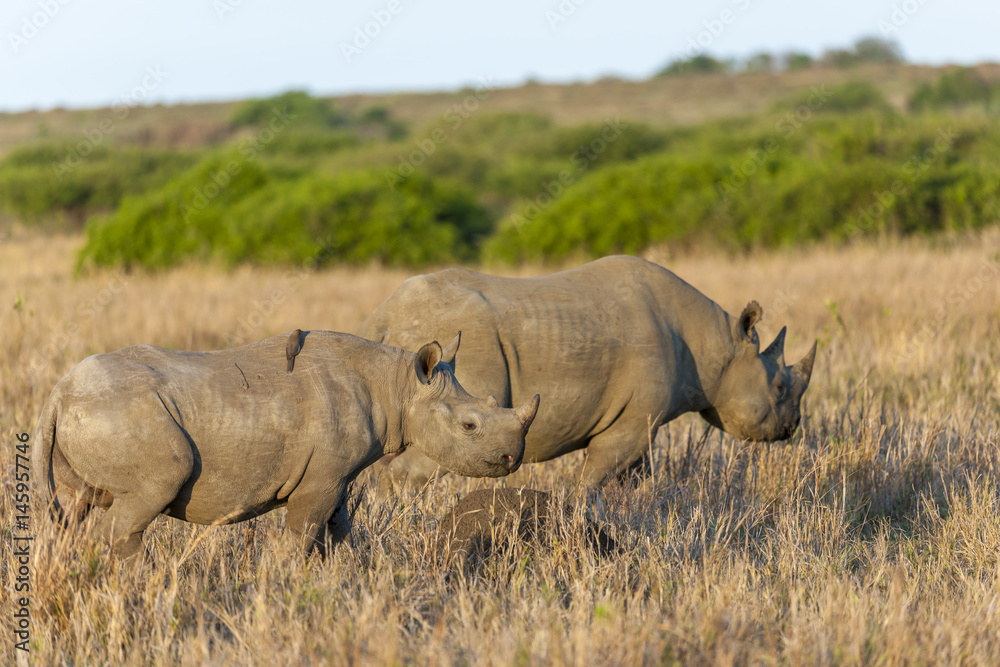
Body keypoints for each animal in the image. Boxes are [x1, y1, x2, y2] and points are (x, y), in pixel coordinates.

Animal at [33, 331, 540, 559]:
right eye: (470, 426)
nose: (512, 458)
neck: (398, 385)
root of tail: (57, 394)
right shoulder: (319, 479)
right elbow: (304, 533)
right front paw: (291, 579)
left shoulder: (336, 475)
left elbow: (338, 528)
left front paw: (347, 573)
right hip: (121, 412)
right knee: (156, 485)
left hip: (89, 417)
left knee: (72, 506)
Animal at [358, 255, 816, 489]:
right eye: (779, 387)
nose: (792, 427)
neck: (719, 346)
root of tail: (382, 317)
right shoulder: (635, 419)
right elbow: (594, 477)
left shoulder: (639, 420)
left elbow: (632, 475)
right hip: (457, 345)